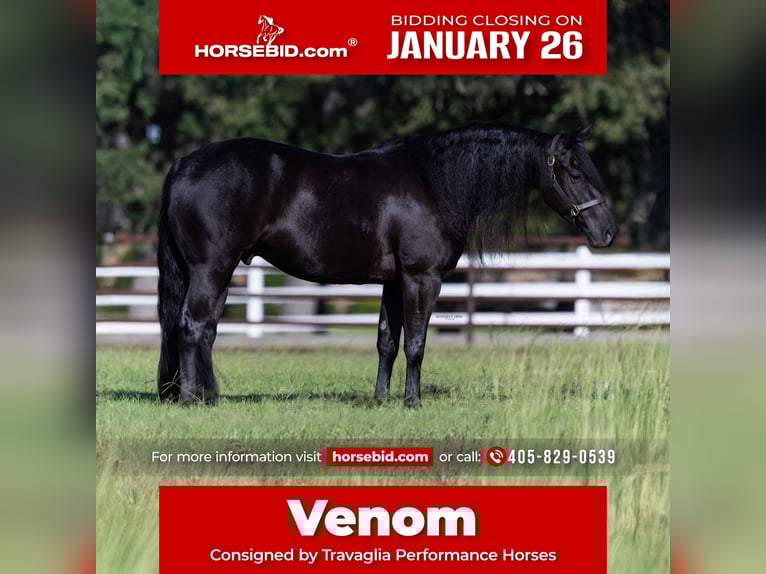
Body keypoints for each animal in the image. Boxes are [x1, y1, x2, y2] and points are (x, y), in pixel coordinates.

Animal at [157, 123, 617, 407]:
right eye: (575, 172)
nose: (608, 232)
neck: (434, 182)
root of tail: (183, 164)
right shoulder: (421, 278)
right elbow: (415, 343)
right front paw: (412, 401)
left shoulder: (393, 282)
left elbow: (386, 341)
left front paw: (381, 399)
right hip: (212, 268)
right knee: (192, 326)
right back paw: (191, 400)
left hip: (217, 271)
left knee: (205, 329)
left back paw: (208, 395)